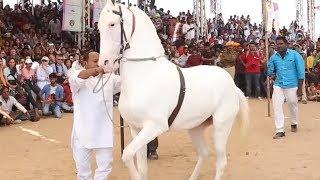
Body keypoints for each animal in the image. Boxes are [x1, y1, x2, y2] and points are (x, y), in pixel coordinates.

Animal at [99, 1, 249, 179]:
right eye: (98, 27)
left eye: (112, 24)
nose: (104, 64)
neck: (145, 75)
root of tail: (233, 86)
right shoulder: (136, 129)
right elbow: (141, 167)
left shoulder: (154, 126)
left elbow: (127, 154)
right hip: (196, 127)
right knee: (204, 153)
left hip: (221, 126)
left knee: (221, 162)